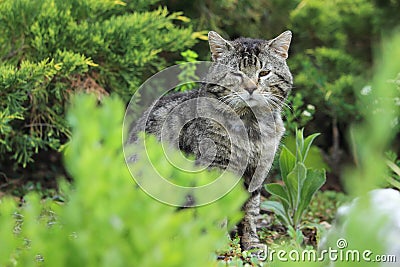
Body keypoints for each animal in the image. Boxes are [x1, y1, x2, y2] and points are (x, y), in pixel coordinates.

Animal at [130, 30, 292, 250]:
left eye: (264, 73)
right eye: (236, 74)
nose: (251, 88)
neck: (250, 127)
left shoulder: (255, 172)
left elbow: (250, 211)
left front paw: (250, 243)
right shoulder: (214, 169)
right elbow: (215, 211)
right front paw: (220, 244)